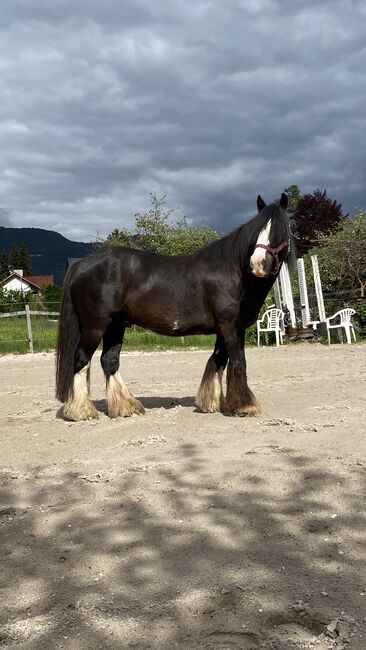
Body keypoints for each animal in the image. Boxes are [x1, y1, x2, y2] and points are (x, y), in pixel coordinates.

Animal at [56, 191, 292, 420]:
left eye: (280, 231)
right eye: (258, 230)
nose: (257, 264)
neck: (234, 272)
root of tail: (80, 264)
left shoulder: (224, 329)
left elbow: (218, 360)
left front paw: (213, 403)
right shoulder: (231, 326)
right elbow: (238, 362)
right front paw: (245, 406)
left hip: (116, 325)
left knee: (109, 361)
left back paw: (126, 406)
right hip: (95, 327)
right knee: (81, 360)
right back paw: (81, 411)